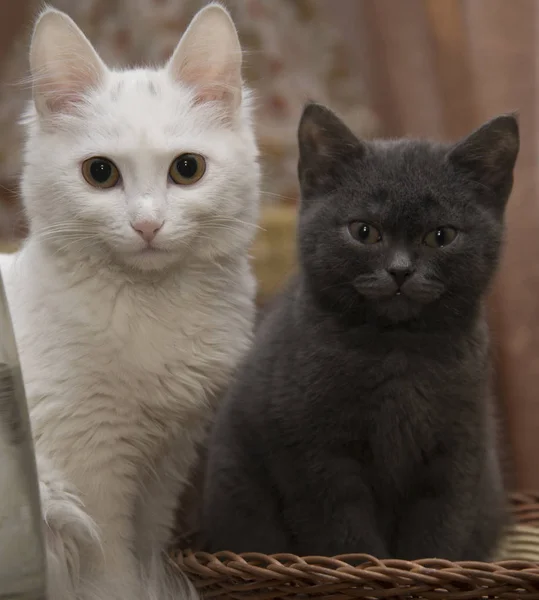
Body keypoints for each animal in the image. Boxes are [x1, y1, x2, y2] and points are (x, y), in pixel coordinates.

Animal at [0, 4, 260, 600]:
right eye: (100, 173)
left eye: (187, 169)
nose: (147, 225)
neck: (152, 307)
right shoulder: (90, 470)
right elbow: (114, 576)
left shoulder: (166, 466)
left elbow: (146, 555)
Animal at [202, 105, 520, 560]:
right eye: (364, 231)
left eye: (441, 235)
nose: (401, 270)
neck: (396, 349)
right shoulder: (313, 454)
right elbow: (343, 533)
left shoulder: (459, 448)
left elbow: (441, 528)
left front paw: (422, 567)